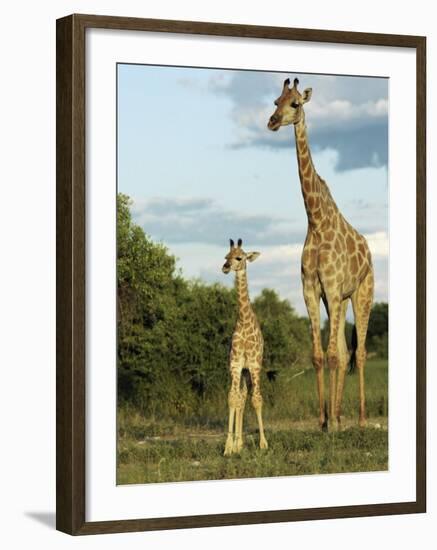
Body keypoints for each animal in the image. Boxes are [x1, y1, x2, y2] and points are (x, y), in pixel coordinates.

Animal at [268, 77, 372, 432]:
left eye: (296, 104)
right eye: (275, 101)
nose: (272, 121)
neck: (315, 220)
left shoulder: (332, 285)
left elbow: (333, 355)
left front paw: (332, 424)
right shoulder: (312, 289)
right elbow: (319, 355)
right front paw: (324, 420)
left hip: (362, 294)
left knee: (359, 352)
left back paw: (361, 418)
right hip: (338, 299)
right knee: (342, 349)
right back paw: (339, 416)